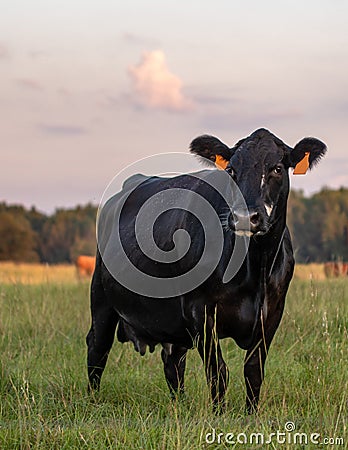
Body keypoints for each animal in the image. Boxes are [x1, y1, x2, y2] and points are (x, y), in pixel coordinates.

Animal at [87, 128, 326, 414]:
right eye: (232, 170)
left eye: (277, 168)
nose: (245, 217)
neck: (255, 268)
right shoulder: (199, 311)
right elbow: (217, 371)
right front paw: (219, 414)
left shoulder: (272, 313)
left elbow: (253, 371)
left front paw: (251, 414)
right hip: (101, 297)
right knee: (97, 346)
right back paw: (91, 401)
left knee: (172, 360)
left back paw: (179, 404)